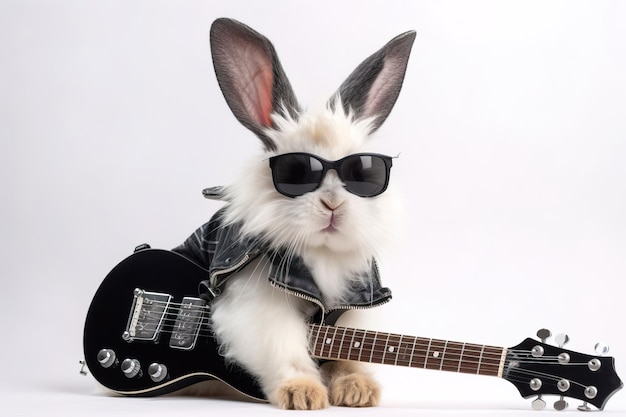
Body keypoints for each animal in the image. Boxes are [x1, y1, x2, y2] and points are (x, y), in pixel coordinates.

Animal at [174, 17, 414, 408]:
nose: (332, 204)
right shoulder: (261, 312)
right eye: (296, 171)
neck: (322, 255)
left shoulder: (353, 313)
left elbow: (349, 357)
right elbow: (287, 353)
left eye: (364, 174)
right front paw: (302, 394)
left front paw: (358, 391)